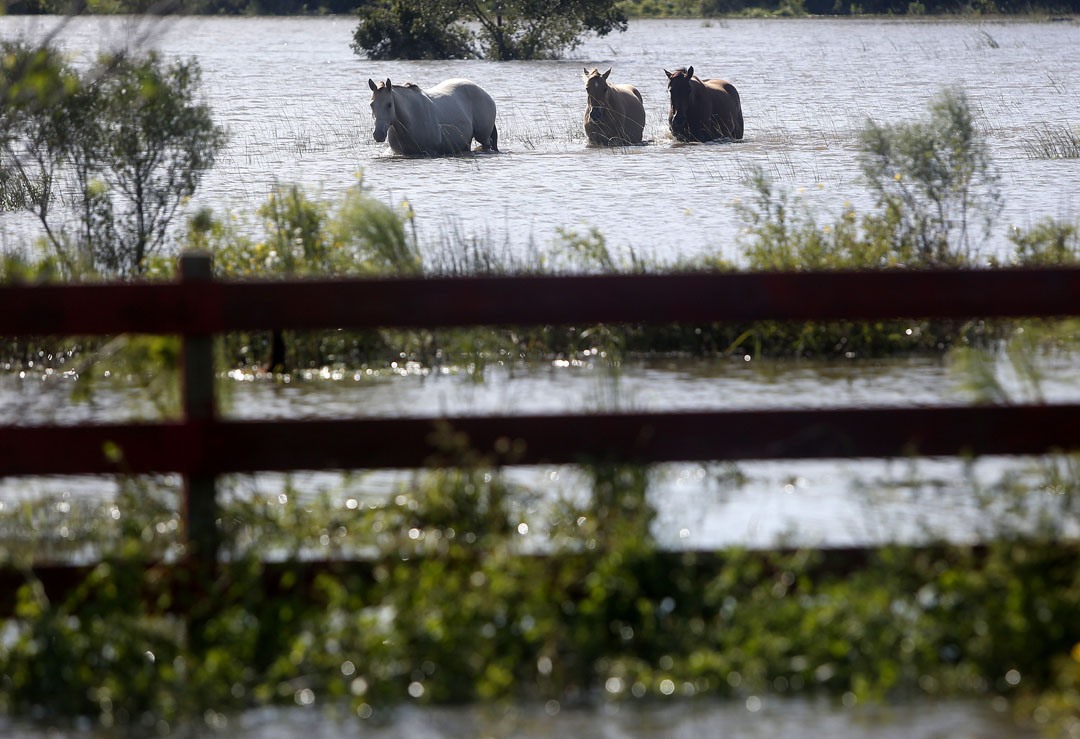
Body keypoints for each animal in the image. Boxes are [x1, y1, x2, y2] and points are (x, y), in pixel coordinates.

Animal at [362, 77, 496, 155]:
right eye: (371, 104)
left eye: (389, 104)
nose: (378, 134)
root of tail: (484, 93)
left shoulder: (431, 152)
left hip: (483, 138)